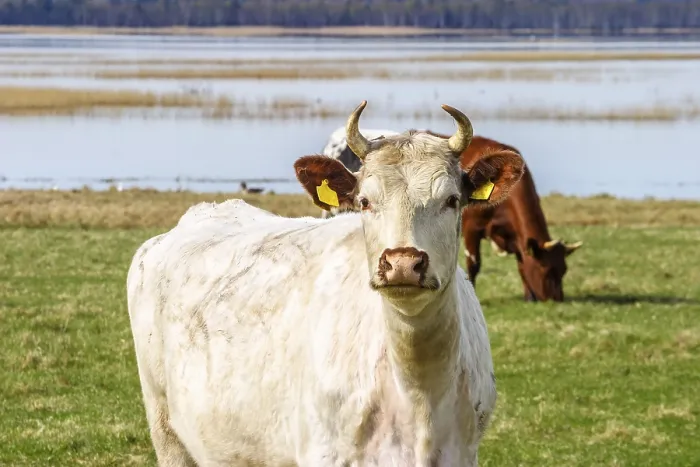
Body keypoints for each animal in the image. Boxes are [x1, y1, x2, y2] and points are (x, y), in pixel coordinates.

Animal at [320, 128, 582, 302]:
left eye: (563, 270)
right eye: (546, 270)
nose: (556, 300)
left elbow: (521, 261)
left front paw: (529, 295)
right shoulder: (471, 228)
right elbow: (474, 264)